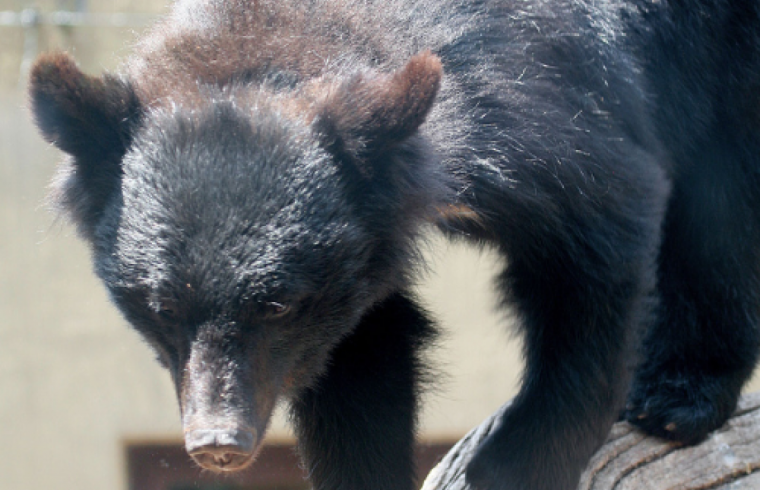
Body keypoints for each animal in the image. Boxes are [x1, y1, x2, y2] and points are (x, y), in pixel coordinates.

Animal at [26, 0, 760, 490]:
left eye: (275, 304)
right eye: (160, 308)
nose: (218, 444)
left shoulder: (544, 107)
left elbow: (601, 239)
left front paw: (512, 465)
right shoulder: (353, 263)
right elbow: (364, 358)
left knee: (722, 199)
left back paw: (677, 396)